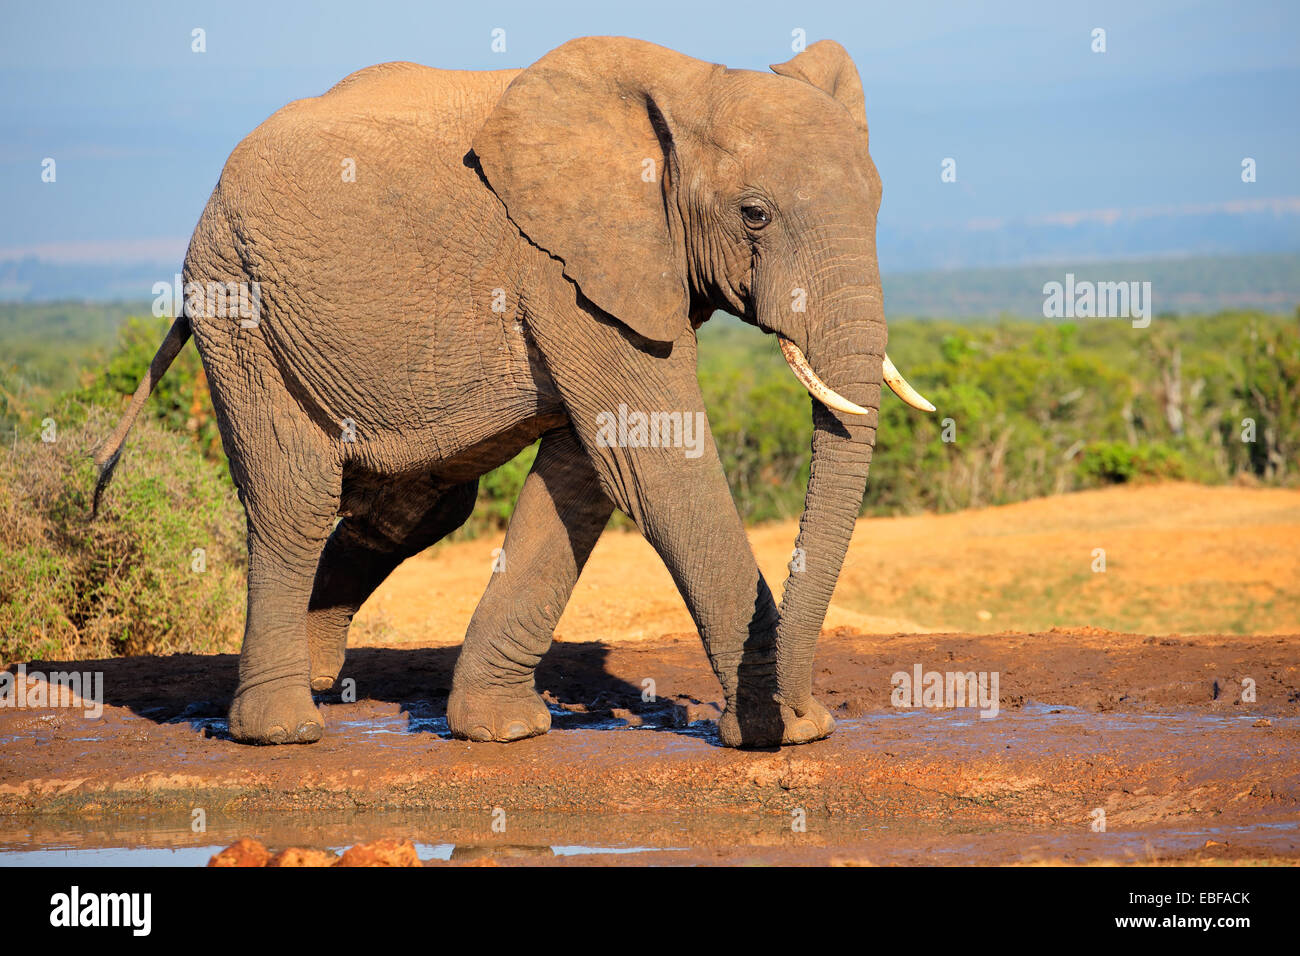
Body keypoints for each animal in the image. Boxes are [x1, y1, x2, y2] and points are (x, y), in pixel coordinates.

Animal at [96, 37, 935, 749]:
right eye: (754, 214)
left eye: (879, 203)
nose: (802, 709)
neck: (692, 83)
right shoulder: (565, 266)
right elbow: (655, 463)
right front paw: (781, 734)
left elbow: (582, 478)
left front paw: (503, 731)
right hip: (236, 301)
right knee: (295, 498)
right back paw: (282, 729)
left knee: (411, 511)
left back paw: (320, 680)